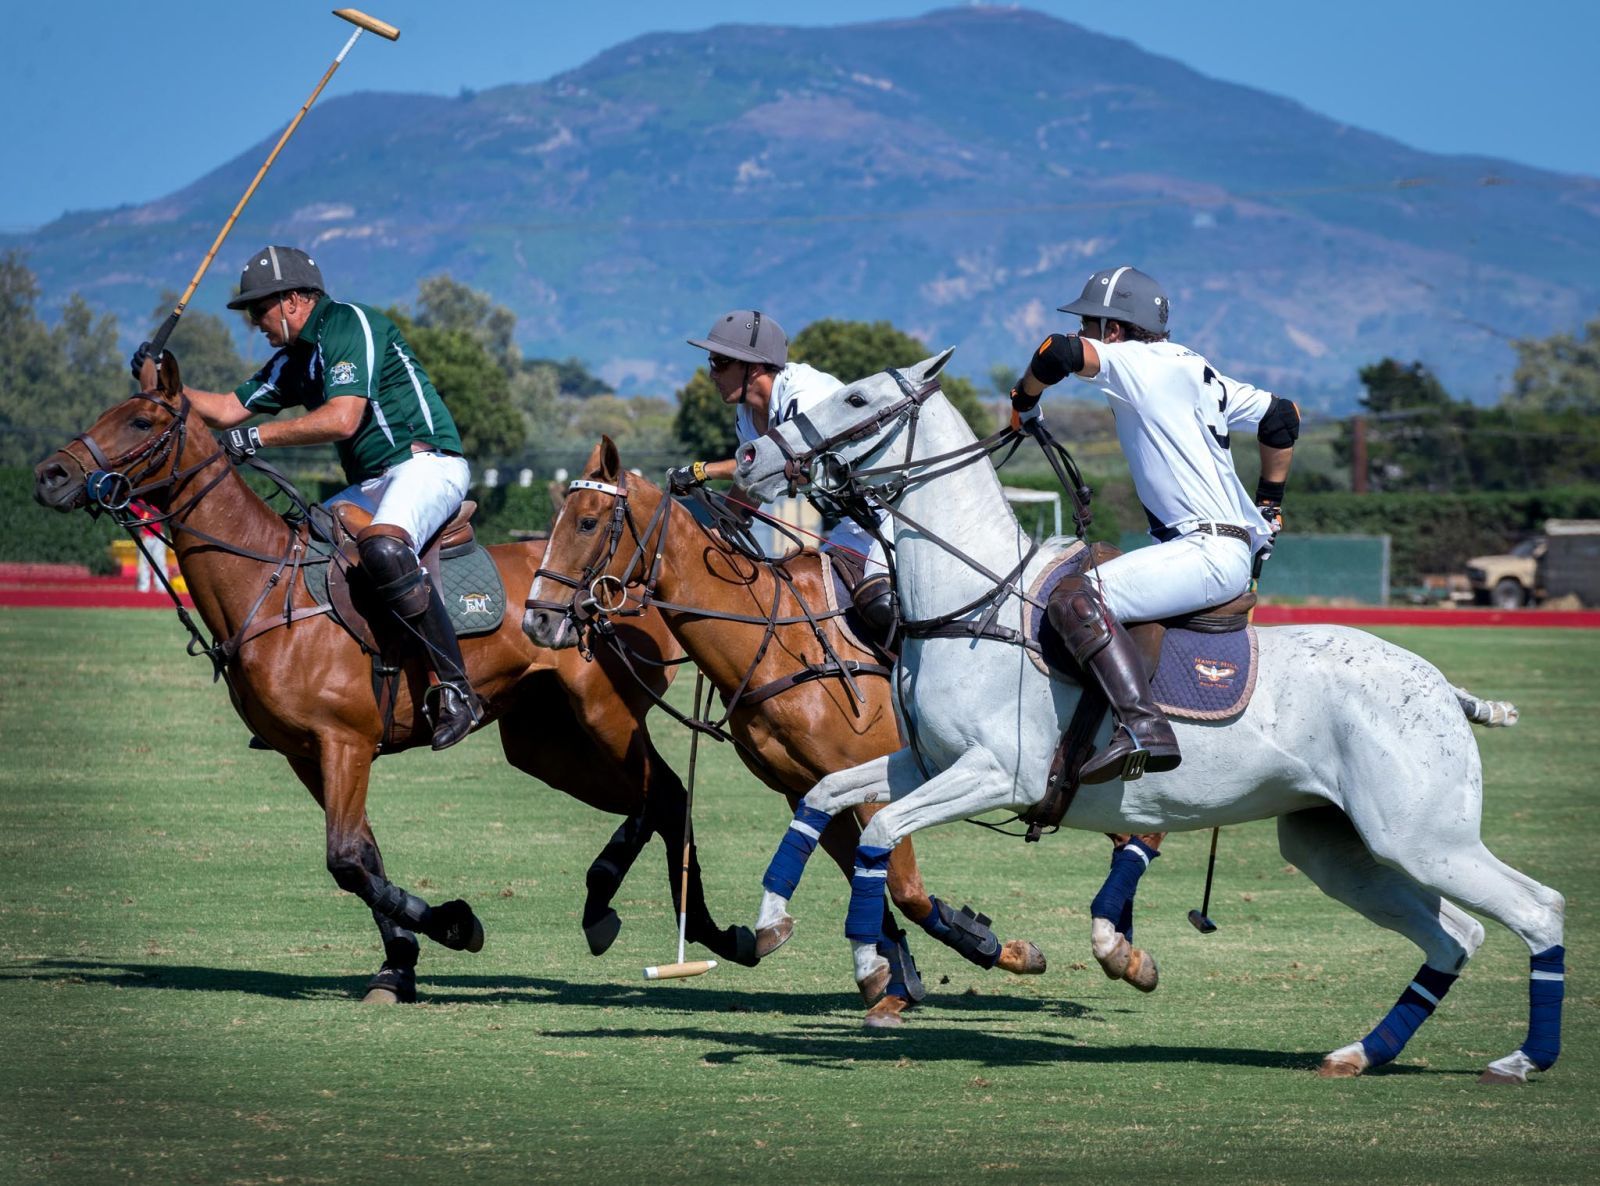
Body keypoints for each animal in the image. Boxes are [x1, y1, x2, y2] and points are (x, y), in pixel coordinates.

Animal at [32, 358, 755, 998]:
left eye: (141, 419)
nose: (48, 475)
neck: (267, 585)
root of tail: (637, 583)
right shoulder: (308, 754)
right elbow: (364, 857)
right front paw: (399, 965)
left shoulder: (344, 741)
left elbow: (347, 860)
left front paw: (457, 925)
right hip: (544, 742)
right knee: (656, 798)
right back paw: (667, 922)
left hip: (606, 714)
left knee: (666, 793)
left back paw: (681, 925)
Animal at [524, 438, 1049, 1024]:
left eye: (588, 523)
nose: (536, 621)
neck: (774, 643)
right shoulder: (806, 788)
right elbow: (866, 875)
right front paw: (889, 977)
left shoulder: (874, 782)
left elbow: (905, 887)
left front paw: (999, 949)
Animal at [732, 347, 1561, 1075]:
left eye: (856, 399)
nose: (748, 458)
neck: (977, 599)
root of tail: (1445, 688)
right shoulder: (926, 761)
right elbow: (823, 797)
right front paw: (772, 922)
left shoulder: (997, 774)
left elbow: (876, 833)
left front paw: (870, 965)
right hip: (1342, 847)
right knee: (1455, 935)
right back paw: (1363, 1053)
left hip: (1421, 836)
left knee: (1538, 907)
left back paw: (1524, 1059)